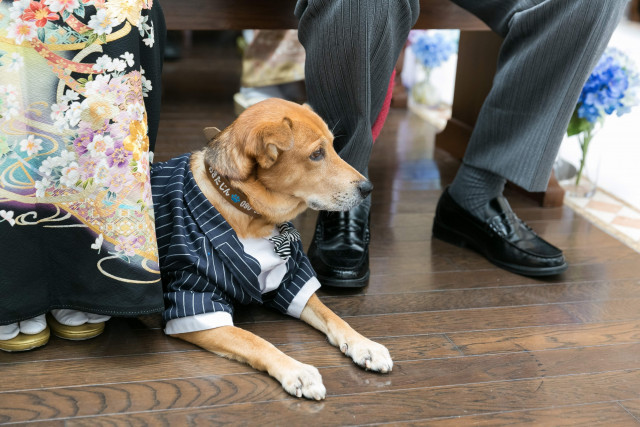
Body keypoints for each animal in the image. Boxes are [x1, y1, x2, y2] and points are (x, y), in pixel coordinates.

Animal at [152, 98, 390, 400]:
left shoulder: (291, 280)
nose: (368, 188)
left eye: (335, 146)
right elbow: (255, 341)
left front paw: (364, 345)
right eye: (316, 154)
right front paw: (297, 371)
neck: (249, 214)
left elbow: (334, 317)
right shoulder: (194, 300)